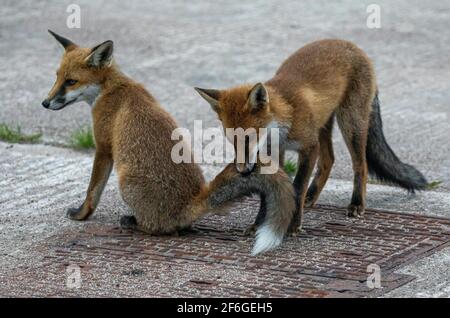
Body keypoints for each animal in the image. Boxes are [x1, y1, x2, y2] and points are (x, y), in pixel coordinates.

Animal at [41, 31, 296, 256]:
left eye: (71, 81)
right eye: (56, 77)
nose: (45, 103)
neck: (112, 89)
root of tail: (192, 202)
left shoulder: (103, 148)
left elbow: (93, 191)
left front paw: (81, 214)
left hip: (126, 182)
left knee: (160, 229)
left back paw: (133, 222)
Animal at [196, 39, 426, 234]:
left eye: (249, 138)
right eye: (231, 140)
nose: (243, 171)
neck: (284, 121)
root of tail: (352, 45)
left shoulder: (308, 147)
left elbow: (297, 187)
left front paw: (293, 225)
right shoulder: (275, 153)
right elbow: (270, 193)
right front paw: (258, 224)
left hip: (350, 123)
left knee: (361, 165)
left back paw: (356, 203)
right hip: (323, 126)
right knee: (329, 160)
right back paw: (312, 196)